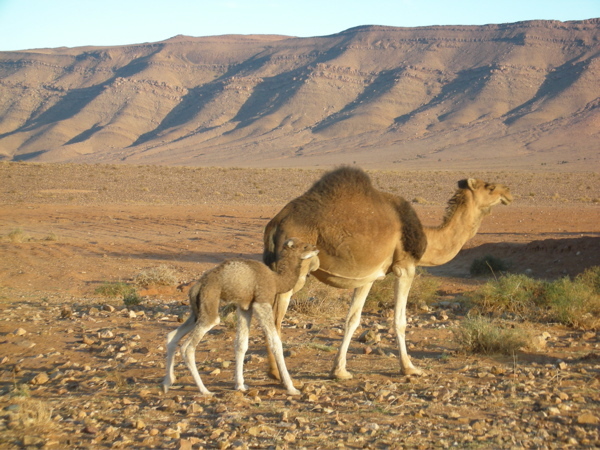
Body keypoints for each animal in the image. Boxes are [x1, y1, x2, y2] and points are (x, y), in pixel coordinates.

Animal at [159, 237, 318, 396]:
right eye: (305, 246)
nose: (316, 248)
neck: (276, 280)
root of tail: (197, 286)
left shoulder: (245, 307)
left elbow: (241, 344)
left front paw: (240, 385)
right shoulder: (262, 301)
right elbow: (276, 343)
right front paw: (291, 388)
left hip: (198, 310)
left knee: (172, 336)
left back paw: (167, 383)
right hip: (210, 301)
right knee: (188, 347)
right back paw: (205, 390)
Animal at [264, 167, 512, 382]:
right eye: (490, 187)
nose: (508, 192)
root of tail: (275, 223)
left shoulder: (367, 276)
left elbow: (352, 320)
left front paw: (339, 371)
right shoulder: (405, 267)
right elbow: (399, 320)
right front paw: (410, 368)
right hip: (295, 268)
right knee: (275, 319)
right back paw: (278, 374)